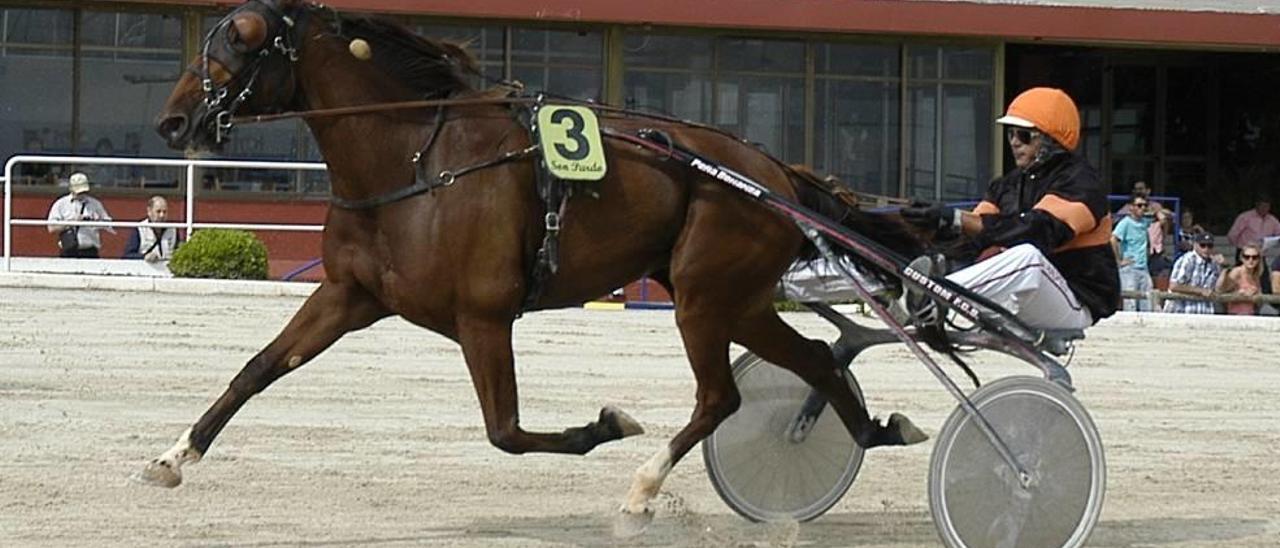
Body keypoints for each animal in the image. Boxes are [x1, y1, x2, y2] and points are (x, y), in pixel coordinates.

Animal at [137, 0, 931, 532]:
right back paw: (876, 431)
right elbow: (257, 369)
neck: (415, 160)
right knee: (816, 360)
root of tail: (776, 172)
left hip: (704, 299)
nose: (172, 121)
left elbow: (507, 431)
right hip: (735, 297)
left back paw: (642, 490)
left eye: (241, 40)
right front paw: (174, 457)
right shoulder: (348, 295)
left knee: (720, 398)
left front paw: (608, 424)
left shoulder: (483, 315)